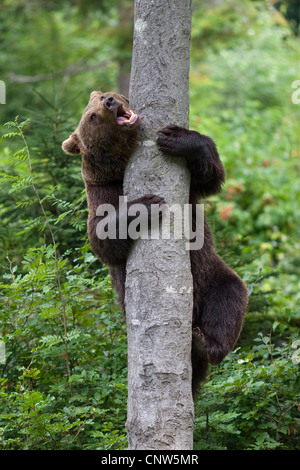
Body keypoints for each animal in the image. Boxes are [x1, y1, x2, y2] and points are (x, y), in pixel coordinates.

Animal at [61, 90, 248, 394]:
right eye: (92, 116)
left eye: (103, 95)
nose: (109, 102)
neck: (121, 167)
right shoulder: (102, 191)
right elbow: (102, 238)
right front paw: (146, 205)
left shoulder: (191, 191)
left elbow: (210, 176)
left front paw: (178, 138)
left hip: (212, 274)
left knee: (229, 298)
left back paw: (205, 342)